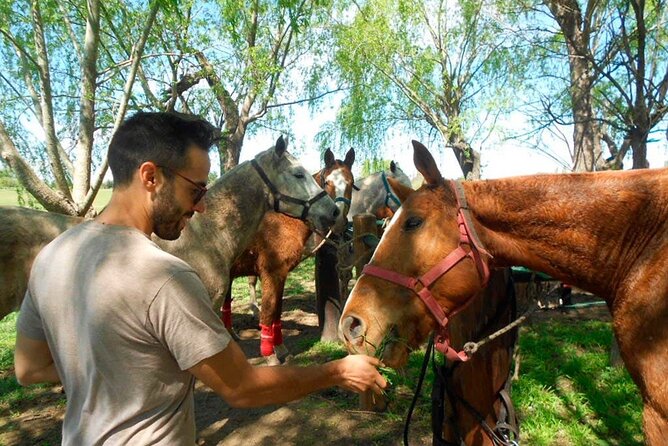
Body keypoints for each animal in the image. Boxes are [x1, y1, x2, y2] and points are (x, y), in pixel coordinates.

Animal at [227, 148, 354, 364]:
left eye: (351, 183)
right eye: (327, 182)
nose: (338, 220)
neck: (283, 220)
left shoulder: (281, 274)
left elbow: (276, 313)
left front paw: (281, 349)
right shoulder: (271, 273)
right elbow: (268, 313)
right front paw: (270, 356)